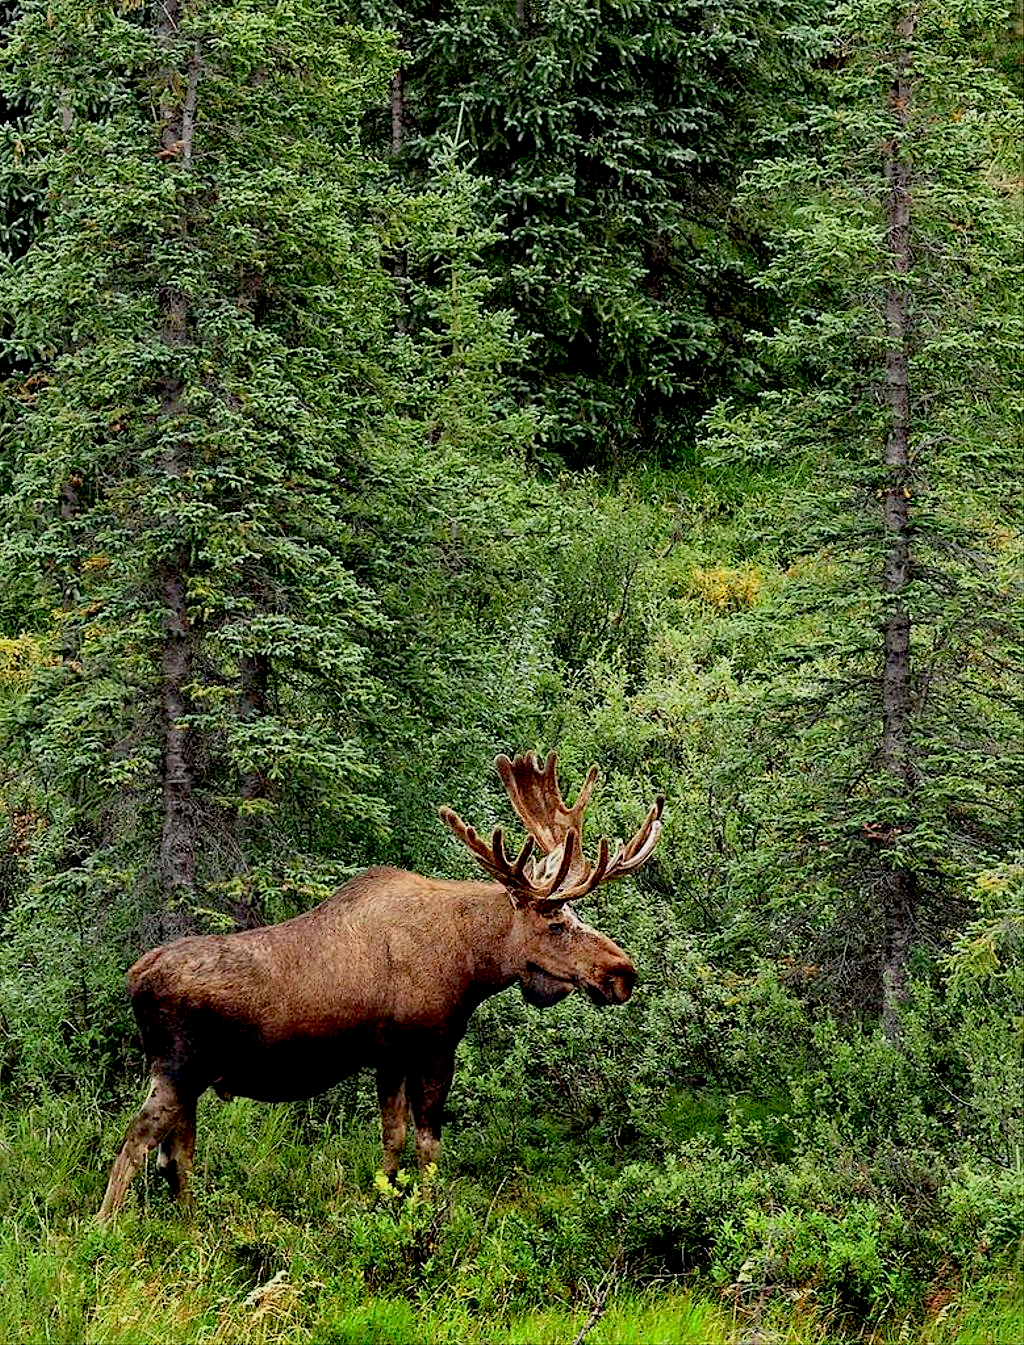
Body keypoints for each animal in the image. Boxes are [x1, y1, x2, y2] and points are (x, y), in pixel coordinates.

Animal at [97, 751, 663, 1220]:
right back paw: (105, 1231)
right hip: (177, 1068)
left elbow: (392, 1140)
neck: (472, 961)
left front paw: (384, 1199)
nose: (623, 973)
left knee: (176, 1156)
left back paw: (190, 1226)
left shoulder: (388, 1056)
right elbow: (429, 1143)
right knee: (135, 1141)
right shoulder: (433, 1045)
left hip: (190, 1080)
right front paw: (431, 1212)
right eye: (557, 923)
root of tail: (134, 978)